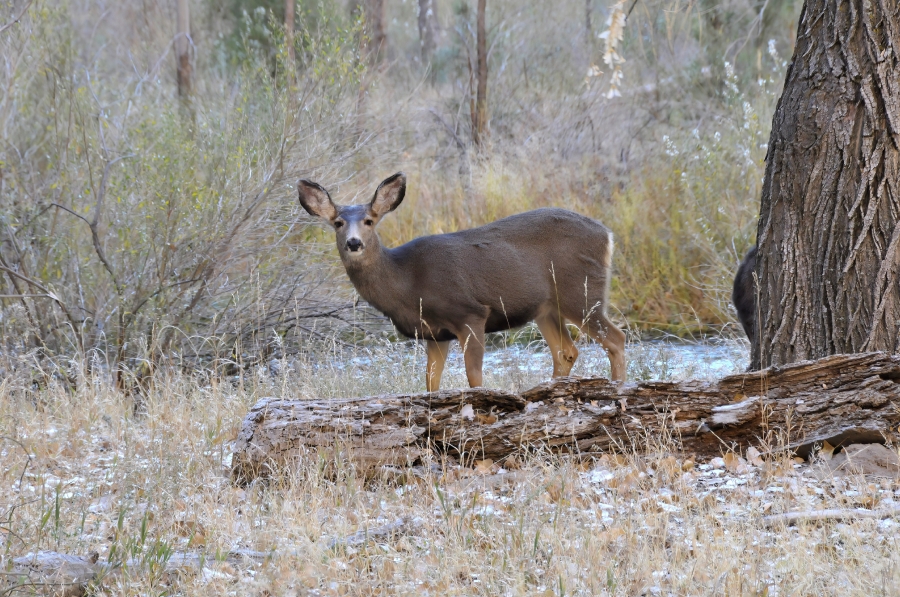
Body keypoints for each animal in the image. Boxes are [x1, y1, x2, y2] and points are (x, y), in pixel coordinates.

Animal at [298, 171, 624, 392]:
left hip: (581, 292)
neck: (406, 282)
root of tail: (607, 234)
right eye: (338, 223)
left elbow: (474, 377)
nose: (353, 242)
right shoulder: (434, 334)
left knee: (615, 338)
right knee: (566, 352)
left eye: (369, 221)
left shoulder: (471, 313)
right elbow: (430, 383)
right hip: (546, 308)